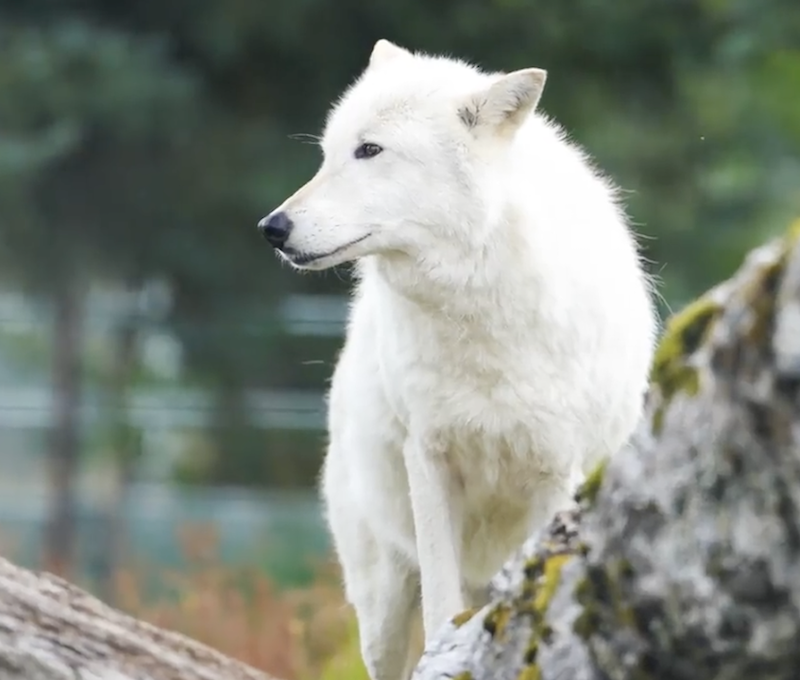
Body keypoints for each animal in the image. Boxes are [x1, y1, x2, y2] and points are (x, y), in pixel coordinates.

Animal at [258, 39, 658, 680]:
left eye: (369, 150)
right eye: (326, 155)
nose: (273, 227)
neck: (478, 310)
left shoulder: (558, 476)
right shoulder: (429, 459)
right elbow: (442, 606)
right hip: (382, 599)